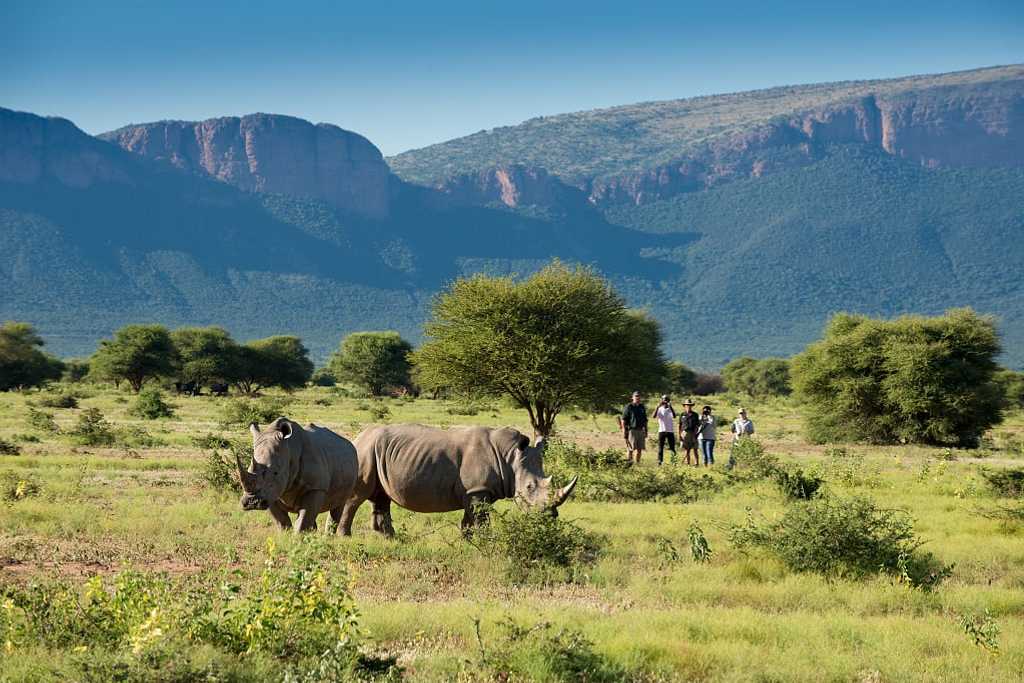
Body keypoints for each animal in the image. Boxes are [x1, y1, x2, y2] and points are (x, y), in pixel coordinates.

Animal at [337, 423, 573, 536]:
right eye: (530, 487)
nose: (550, 518)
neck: (509, 458)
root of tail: (358, 436)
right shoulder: (477, 490)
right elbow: (481, 521)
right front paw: (487, 543)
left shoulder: (475, 492)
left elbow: (469, 520)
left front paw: (468, 542)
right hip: (366, 451)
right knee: (357, 497)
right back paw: (344, 536)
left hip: (378, 452)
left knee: (381, 496)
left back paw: (391, 538)